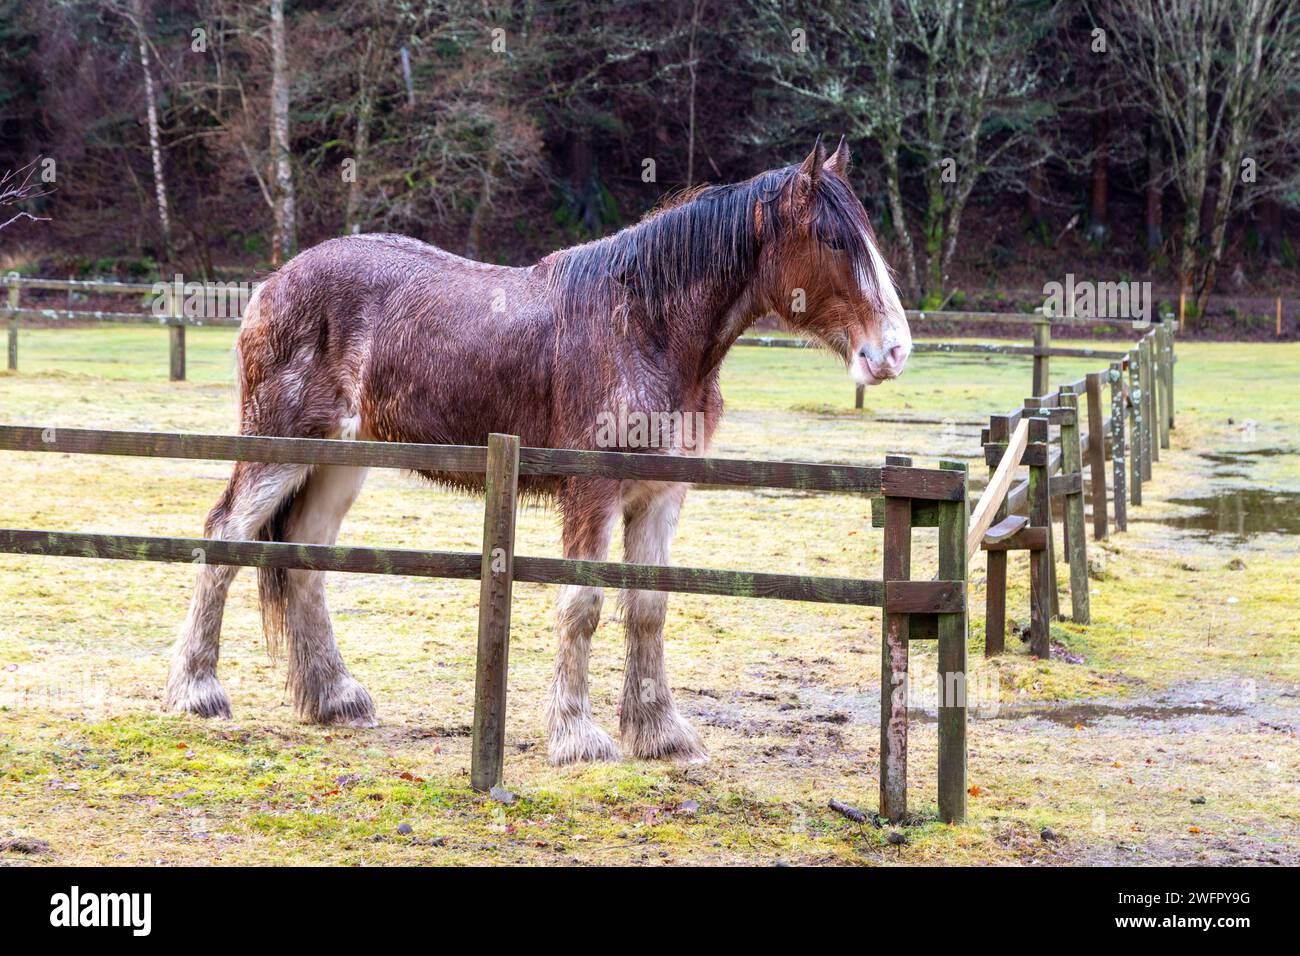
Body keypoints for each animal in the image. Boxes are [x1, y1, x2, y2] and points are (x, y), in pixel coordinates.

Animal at [164, 137, 912, 765]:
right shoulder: (593, 493)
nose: (894, 351)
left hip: (338, 463)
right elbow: (582, 605)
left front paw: (659, 733)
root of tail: (271, 285)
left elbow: (649, 607)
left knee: (307, 561)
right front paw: (579, 736)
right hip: (279, 449)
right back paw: (197, 690)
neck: (644, 325)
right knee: (224, 535)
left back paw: (334, 698)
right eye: (831, 238)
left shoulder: (662, 493)